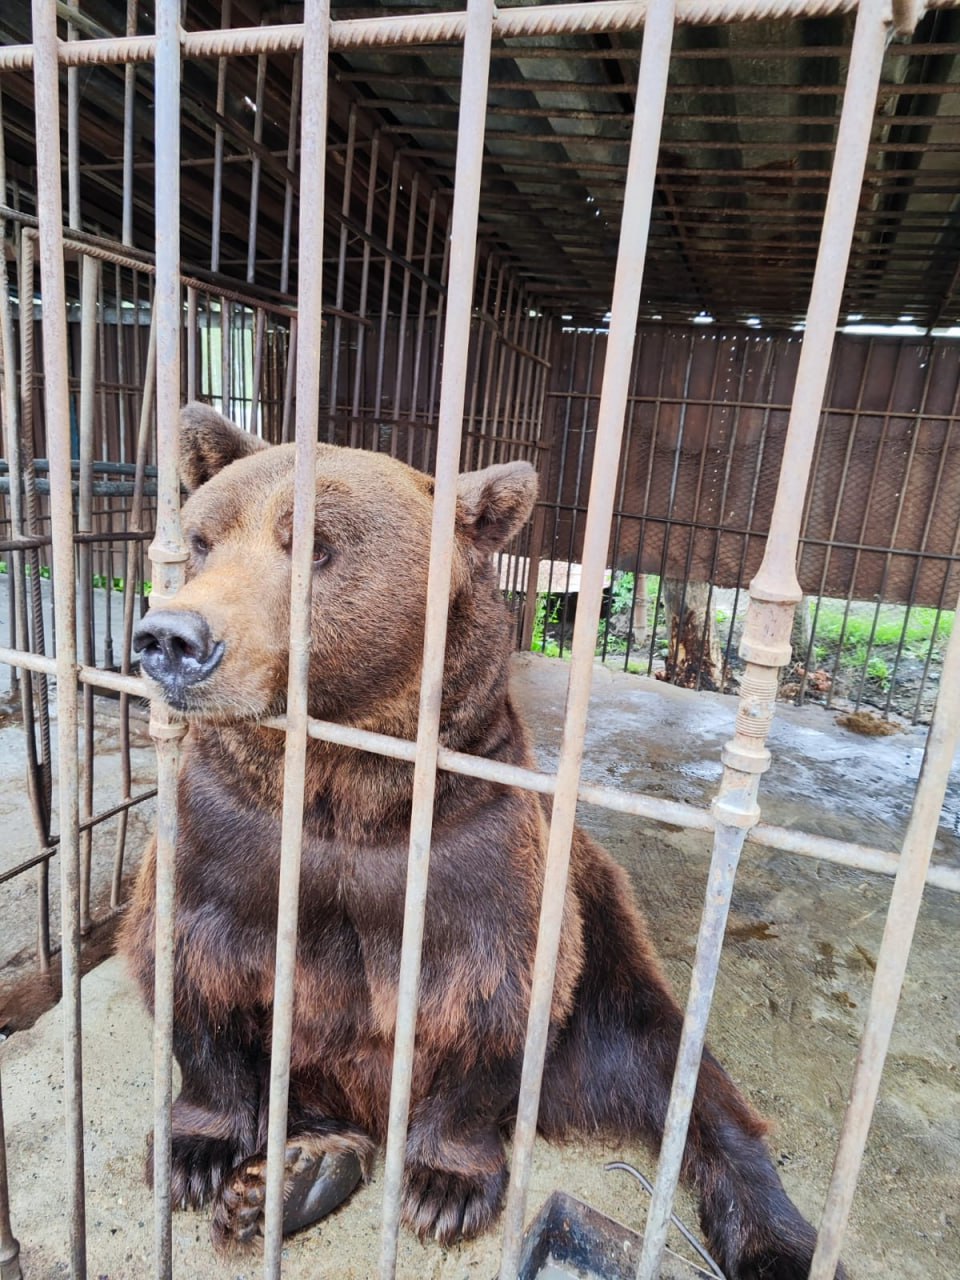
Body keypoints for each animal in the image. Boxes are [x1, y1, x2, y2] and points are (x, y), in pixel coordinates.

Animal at [121, 402, 845, 1278]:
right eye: (202, 537)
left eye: (316, 544)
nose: (173, 638)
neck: (345, 782)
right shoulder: (227, 836)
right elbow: (191, 964)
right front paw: (196, 1151)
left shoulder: (475, 852)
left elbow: (494, 998)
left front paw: (445, 1187)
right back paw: (294, 1176)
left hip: (612, 971)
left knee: (680, 1075)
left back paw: (779, 1239)